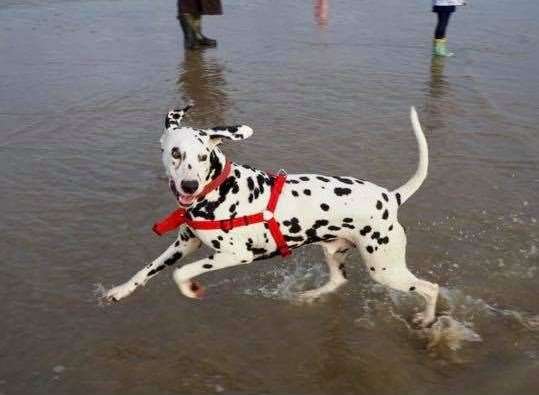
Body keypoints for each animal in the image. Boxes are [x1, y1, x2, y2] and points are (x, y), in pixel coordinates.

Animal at [105, 105, 438, 328]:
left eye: (202, 157)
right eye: (175, 153)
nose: (189, 185)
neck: (217, 188)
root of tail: (391, 197)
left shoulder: (235, 255)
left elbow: (181, 273)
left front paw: (190, 289)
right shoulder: (184, 243)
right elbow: (147, 270)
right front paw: (119, 291)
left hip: (385, 269)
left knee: (431, 288)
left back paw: (426, 320)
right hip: (336, 252)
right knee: (338, 281)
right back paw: (309, 296)